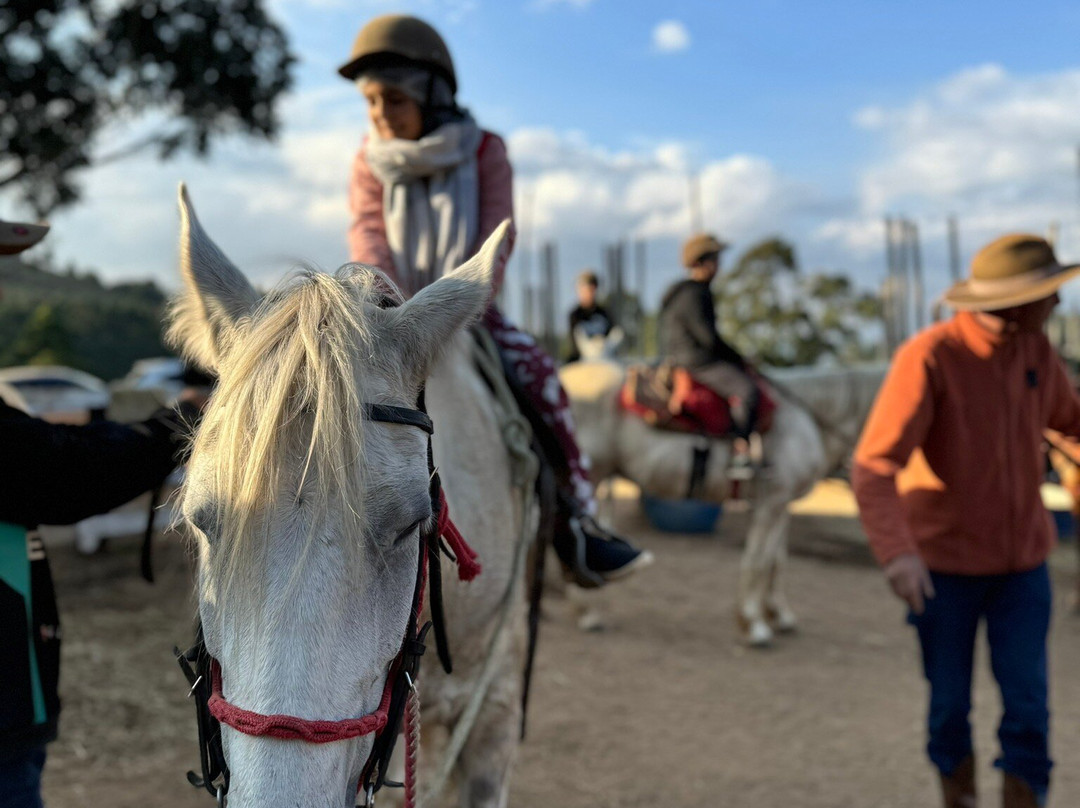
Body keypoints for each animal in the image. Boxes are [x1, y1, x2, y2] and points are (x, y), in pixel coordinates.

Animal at [560, 359, 886, 646]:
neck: (810, 421)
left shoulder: (781, 504)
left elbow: (776, 562)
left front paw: (778, 614)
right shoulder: (772, 503)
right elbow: (757, 562)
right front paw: (753, 625)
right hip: (590, 476)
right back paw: (587, 613)